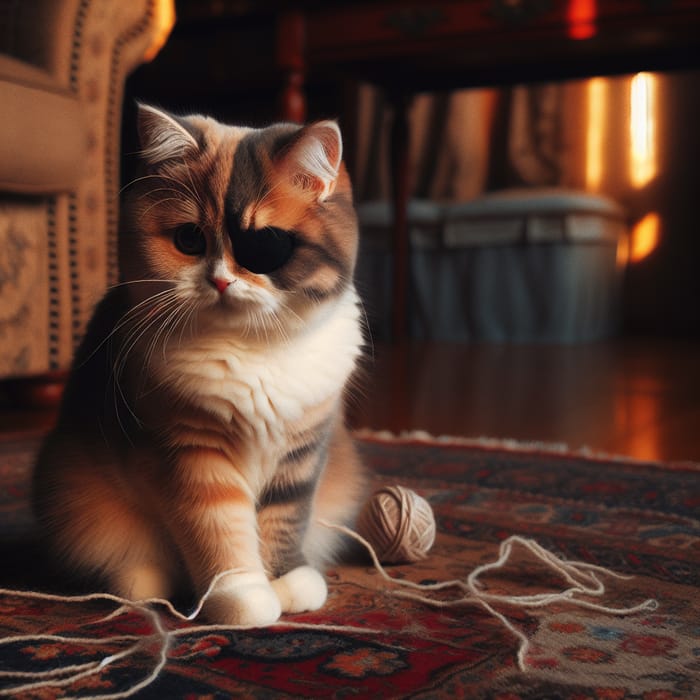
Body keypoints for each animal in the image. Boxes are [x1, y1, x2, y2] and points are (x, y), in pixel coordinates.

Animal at [32, 102, 370, 624]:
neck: (251, 349)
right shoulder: (190, 455)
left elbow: (285, 517)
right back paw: (142, 583)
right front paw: (244, 596)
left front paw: (286, 581)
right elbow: (220, 531)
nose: (221, 281)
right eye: (190, 239)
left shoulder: (301, 452)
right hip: (81, 495)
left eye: (264, 247)